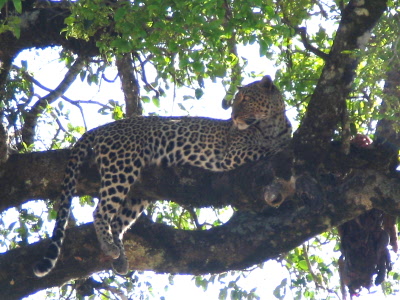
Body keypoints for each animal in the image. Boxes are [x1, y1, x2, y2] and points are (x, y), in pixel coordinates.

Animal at [32, 75, 292, 276]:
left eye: (246, 99)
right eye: (236, 101)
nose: (234, 117)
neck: (272, 125)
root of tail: (103, 127)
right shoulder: (232, 154)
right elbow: (265, 148)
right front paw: (279, 147)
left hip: (139, 192)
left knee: (117, 221)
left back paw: (120, 260)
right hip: (121, 166)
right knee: (101, 211)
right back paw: (109, 248)